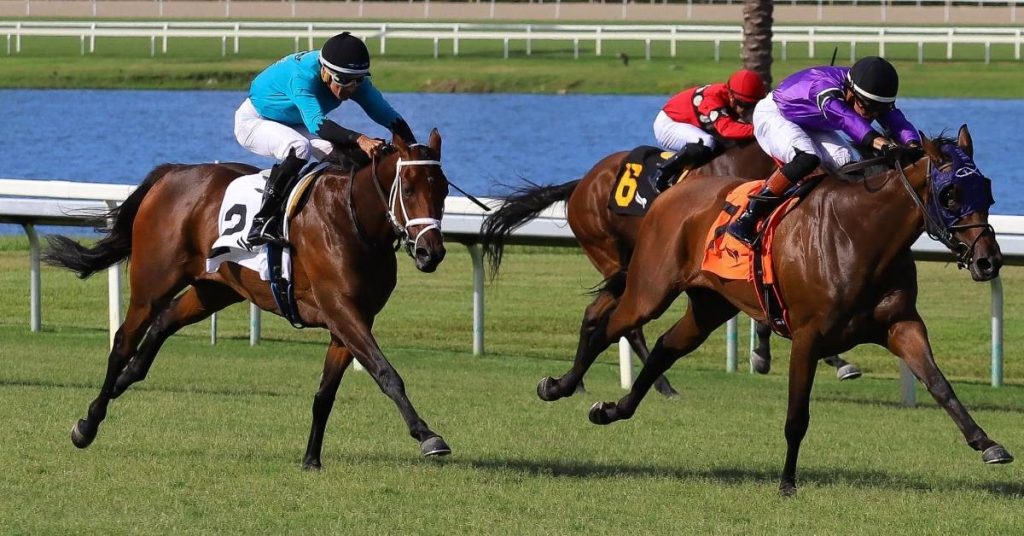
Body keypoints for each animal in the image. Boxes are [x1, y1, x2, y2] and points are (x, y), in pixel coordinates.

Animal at [43, 131, 452, 470]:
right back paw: (88, 423)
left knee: (163, 324)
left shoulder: (350, 321)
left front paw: (311, 459)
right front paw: (427, 435)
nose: (431, 253)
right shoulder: (341, 310)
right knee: (123, 342)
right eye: (409, 189)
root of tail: (172, 173)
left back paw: (125, 380)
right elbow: (386, 373)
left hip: (214, 289)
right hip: (152, 283)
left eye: (443, 191)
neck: (352, 218)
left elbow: (325, 394)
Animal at [480, 141, 858, 398]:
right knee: (628, 323)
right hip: (615, 254)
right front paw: (769, 355)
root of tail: (580, 183)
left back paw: (581, 379)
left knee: (595, 313)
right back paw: (661, 384)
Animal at [537, 125, 1011, 495]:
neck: (861, 234)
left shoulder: (901, 324)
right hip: (649, 288)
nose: (989, 261)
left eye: (987, 190)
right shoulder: (808, 337)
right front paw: (787, 483)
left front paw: (987, 443)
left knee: (666, 346)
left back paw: (614, 408)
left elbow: (940, 385)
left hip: (709, 306)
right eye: (950, 194)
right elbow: (797, 416)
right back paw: (558, 386)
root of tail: (670, 196)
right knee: (609, 326)